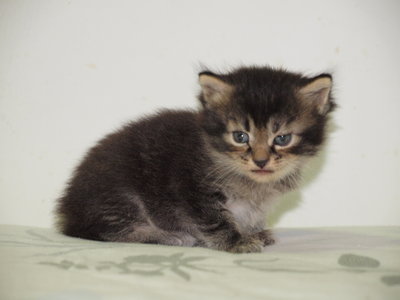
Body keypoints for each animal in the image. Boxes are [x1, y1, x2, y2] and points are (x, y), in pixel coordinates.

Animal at [54, 66, 332, 253]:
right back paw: (168, 236)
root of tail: (67, 209)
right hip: (117, 193)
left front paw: (254, 231)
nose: (261, 161)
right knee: (107, 230)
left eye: (282, 138)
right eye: (240, 136)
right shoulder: (192, 188)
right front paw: (236, 241)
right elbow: (215, 219)